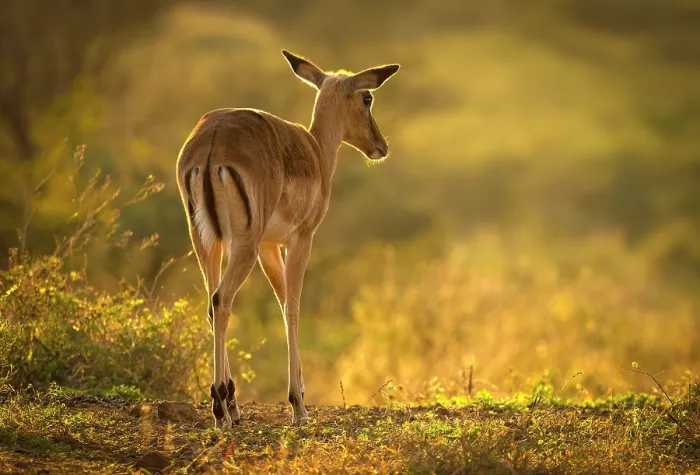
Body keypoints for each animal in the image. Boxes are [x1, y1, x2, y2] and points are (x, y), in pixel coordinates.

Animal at [176, 50, 400, 428]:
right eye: (367, 98)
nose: (380, 146)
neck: (316, 151)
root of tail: (211, 143)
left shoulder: (269, 245)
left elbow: (281, 302)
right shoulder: (300, 238)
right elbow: (292, 306)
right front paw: (298, 405)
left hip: (207, 241)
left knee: (211, 303)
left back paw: (228, 405)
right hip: (244, 244)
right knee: (222, 300)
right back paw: (221, 409)